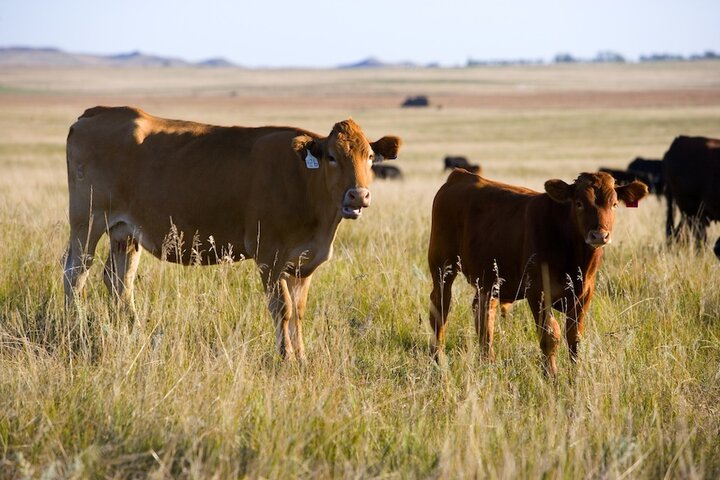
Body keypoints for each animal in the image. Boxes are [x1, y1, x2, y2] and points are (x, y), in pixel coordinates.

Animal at [64, 106, 402, 360]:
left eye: (369, 157)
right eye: (332, 157)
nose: (358, 195)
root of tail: (98, 112)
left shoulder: (303, 263)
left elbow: (299, 311)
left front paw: (302, 356)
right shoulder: (270, 255)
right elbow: (282, 309)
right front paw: (286, 358)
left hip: (125, 232)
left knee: (119, 280)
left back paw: (133, 332)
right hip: (87, 221)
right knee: (76, 273)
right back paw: (75, 332)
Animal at [428, 170, 648, 376]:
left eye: (614, 204)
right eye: (579, 203)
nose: (599, 235)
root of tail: (460, 175)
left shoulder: (584, 294)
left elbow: (574, 336)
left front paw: (576, 372)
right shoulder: (538, 291)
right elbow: (550, 334)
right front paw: (551, 374)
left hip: (489, 278)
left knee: (483, 312)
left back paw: (487, 361)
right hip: (442, 266)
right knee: (440, 307)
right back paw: (438, 358)